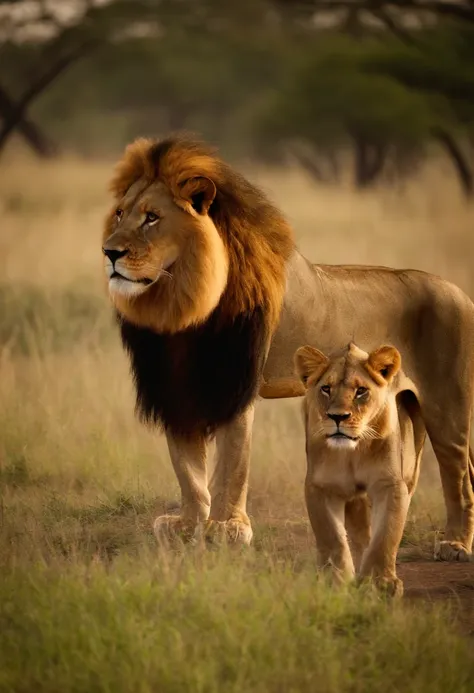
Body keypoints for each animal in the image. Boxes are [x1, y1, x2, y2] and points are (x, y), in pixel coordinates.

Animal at [103, 134, 474, 556]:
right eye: (119, 214)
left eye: (152, 217)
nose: (109, 253)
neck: (181, 303)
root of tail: (459, 292)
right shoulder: (175, 385)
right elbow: (187, 466)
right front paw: (187, 525)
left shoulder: (234, 382)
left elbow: (232, 460)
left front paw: (227, 528)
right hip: (397, 407)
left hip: (447, 405)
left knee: (459, 473)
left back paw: (456, 544)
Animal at [294, 340, 424, 596]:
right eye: (326, 389)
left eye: (361, 391)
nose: (338, 417)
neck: (352, 453)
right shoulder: (320, 487)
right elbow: (332, 536)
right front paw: (335, 581)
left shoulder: (390, 484)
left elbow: (386, 534)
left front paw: (379, 583)